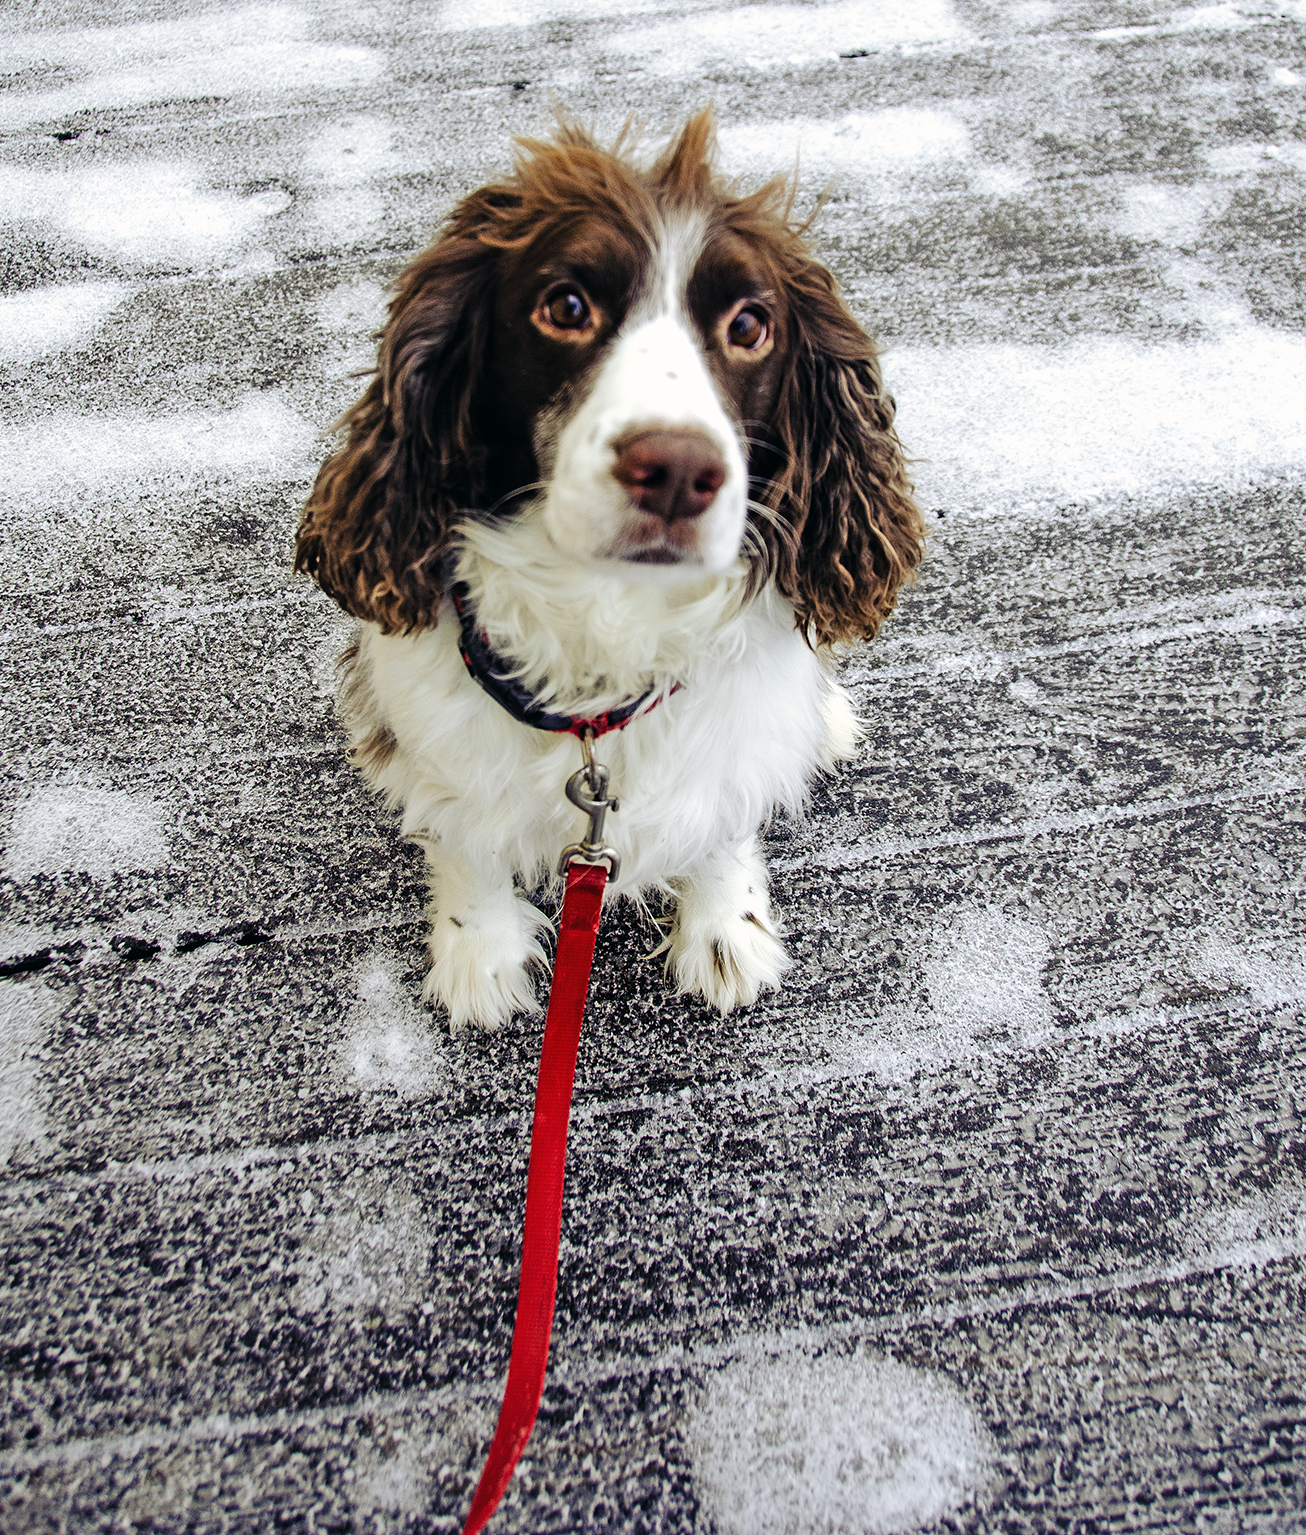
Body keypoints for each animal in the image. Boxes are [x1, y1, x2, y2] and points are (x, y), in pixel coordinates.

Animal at [299, 111, 926, 1031]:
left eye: (749, 326)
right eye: (566, 306)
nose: (676, 470)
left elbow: (724, 815)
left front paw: (723, 927)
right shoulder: (441, 734)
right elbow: (464, 832)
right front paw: (479, 952)